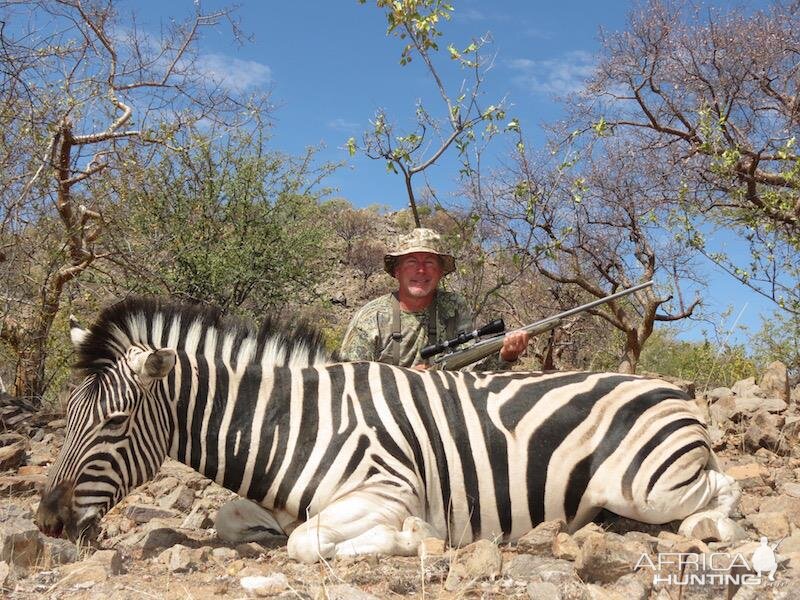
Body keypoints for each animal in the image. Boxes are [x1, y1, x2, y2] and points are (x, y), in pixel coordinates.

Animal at [36, 296, 736, 564]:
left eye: (114, 422)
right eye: (67, 415)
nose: (45, 523)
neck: (295, 425)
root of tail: (673, 388)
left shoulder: (386, 490)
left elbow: (307, 544)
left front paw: (413, 540)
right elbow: (237, 520)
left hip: (648, 487)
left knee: (720, 493)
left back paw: (705, 529)